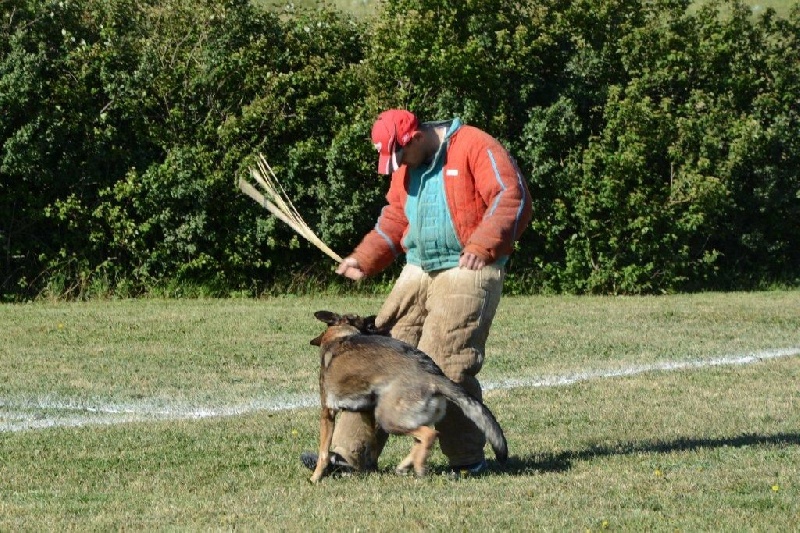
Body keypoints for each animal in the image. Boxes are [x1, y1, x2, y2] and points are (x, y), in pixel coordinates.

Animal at [306, 312, 506, 482]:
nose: (375, 318)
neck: (337, 336)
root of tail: (433, 376)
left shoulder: (327, 413)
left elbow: (324, 452)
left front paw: (316, 477)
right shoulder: (367, 414)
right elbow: (371, 444)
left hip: (389, 418)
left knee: (429, 434)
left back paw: (418, 467)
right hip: (404, 417)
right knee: (420, 438)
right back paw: (407, 465)